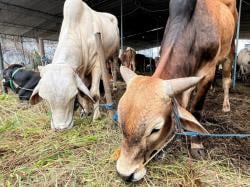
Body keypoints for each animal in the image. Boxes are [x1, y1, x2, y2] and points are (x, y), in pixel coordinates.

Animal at [29, 0, 119, 129]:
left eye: (72, 97)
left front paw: (96, 116)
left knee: (113, 69)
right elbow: (83, 94)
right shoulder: (80, 71)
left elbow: (94, 93)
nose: (61, 128)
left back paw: (114, 87)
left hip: (114, 53)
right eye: (45, 99)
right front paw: (85, 111)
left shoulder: (96, 64)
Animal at [115, 0, 236, 182]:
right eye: (120, 123)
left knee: (227, 81)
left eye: (156, 129)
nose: (125, 173)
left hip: (229, 52)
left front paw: (196, 144)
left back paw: (226, 105)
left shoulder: (207, 73)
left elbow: (196, 110)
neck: (193, 28)